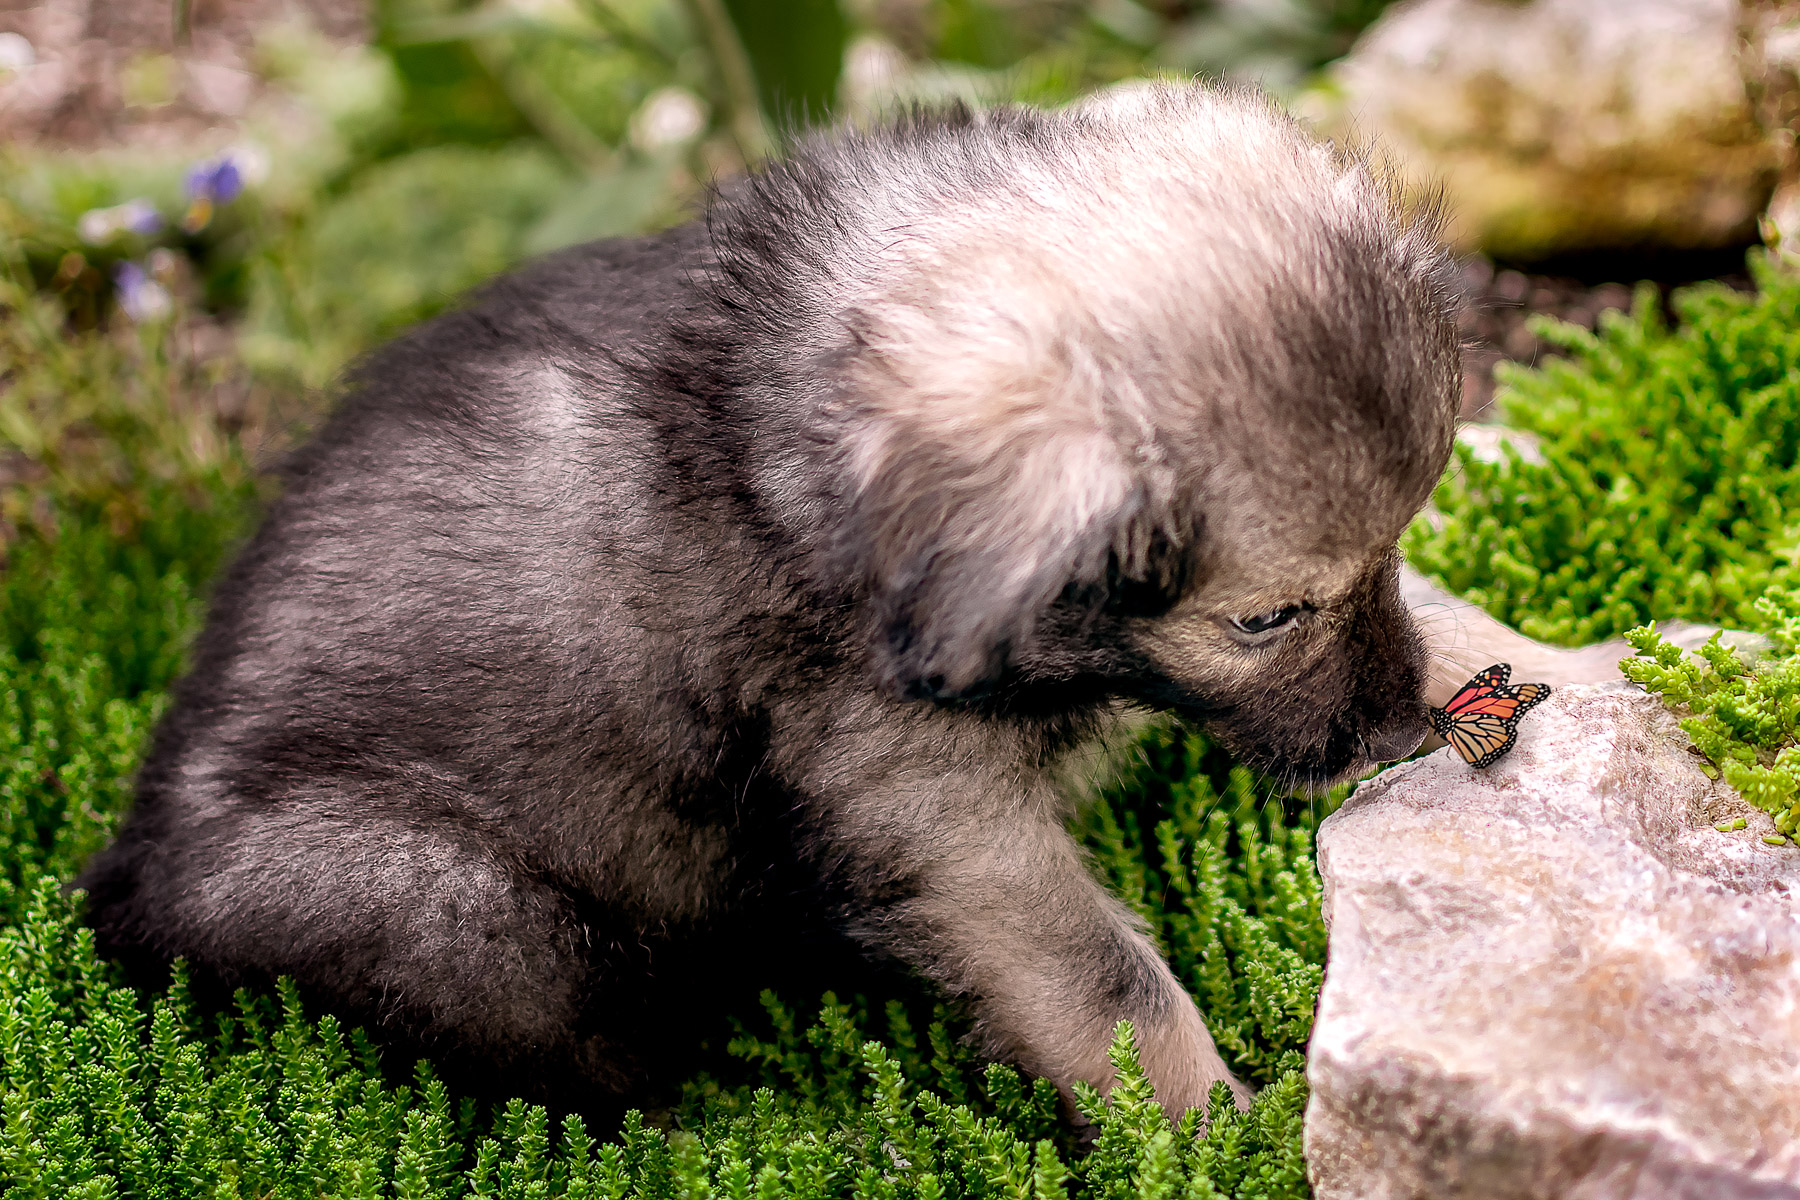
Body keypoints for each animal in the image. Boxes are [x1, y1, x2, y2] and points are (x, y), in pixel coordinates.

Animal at [81, 82, 1461, 1115]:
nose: (1403, 732)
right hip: (448, 903)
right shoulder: (935, 821)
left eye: (1398, 543)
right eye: (1266, 619)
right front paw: (1209, 1132)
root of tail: (125, 881)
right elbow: (1111, 987)